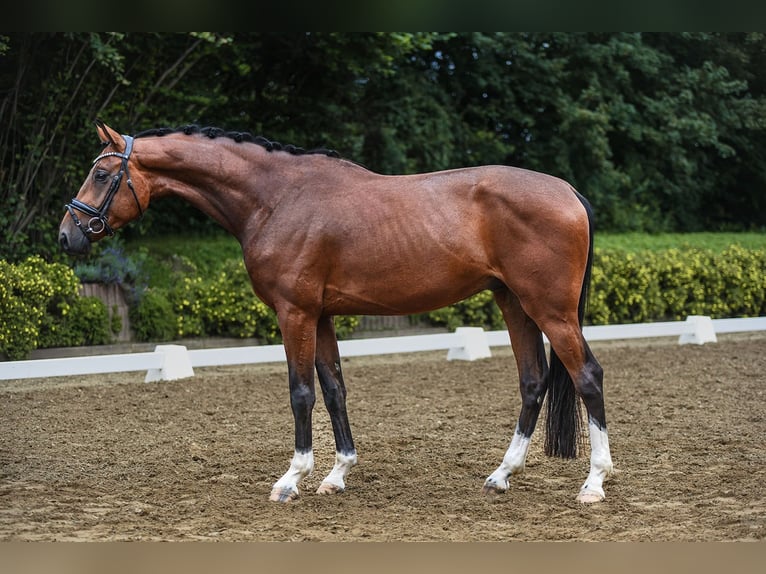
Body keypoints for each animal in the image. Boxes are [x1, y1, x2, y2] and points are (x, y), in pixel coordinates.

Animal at [57, 120, 616, 504]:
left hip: (550, 310)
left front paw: (291, 479)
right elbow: (333, 389)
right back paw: (501, 475)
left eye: (101, 173)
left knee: (587, 375)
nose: (67, 235)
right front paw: (336, 474)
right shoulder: (320, 316)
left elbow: (301, 392)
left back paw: (593, 483)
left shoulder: (295, 313)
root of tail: (566, 190)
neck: (276, 199)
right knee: (533, 380)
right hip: (514, 303)